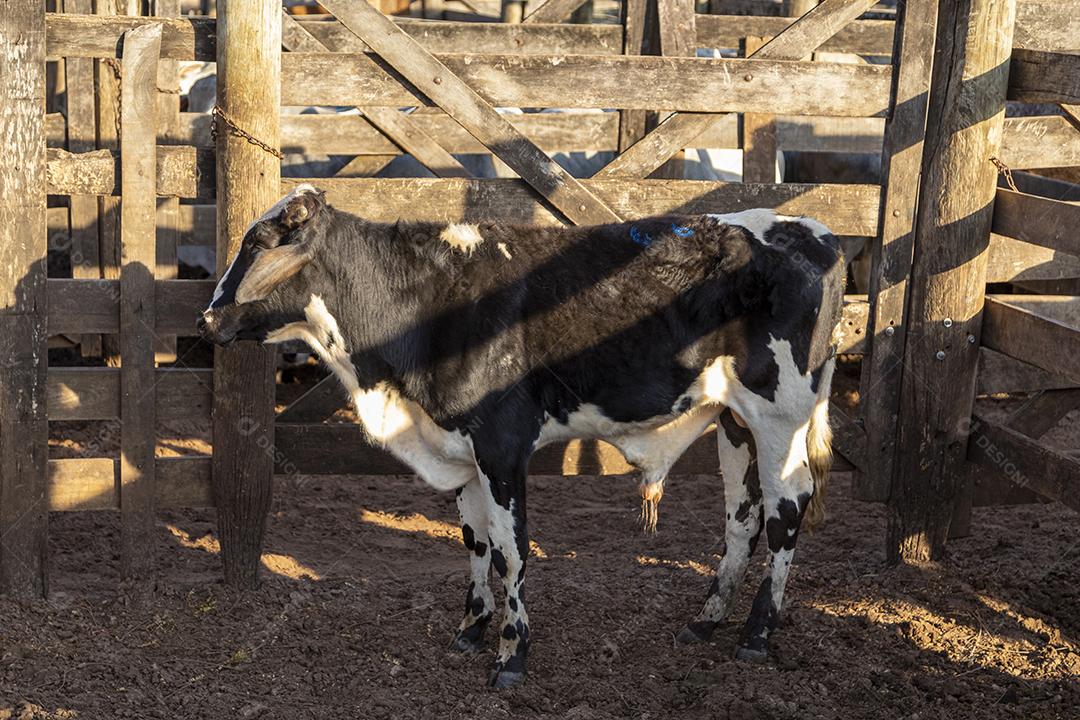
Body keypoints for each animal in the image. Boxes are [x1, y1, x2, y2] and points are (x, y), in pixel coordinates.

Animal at [197, 184, 845, 688]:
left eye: (256, 245)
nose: (207, 320)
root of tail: (815, 233)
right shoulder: (462, 450)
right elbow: (476, 542)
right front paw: (472, 628)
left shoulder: (502, 446)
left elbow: (512, 550)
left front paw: (512, 654)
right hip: (734, 421)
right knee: (743, 518)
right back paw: (706, 619)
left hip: (780, 416)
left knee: (787, 512)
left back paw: (757, 635)